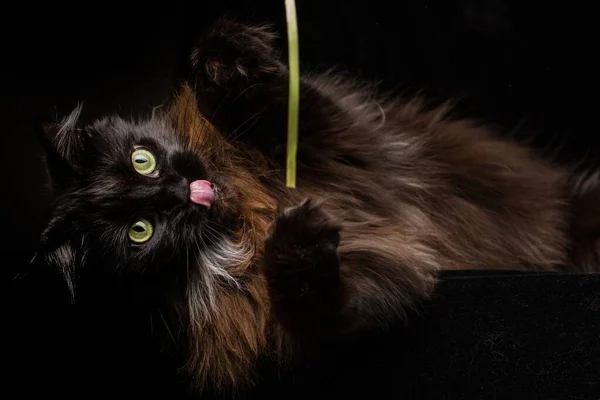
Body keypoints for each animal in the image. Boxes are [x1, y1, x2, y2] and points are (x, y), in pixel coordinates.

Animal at [32, 18, 600, 394]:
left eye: (142, 160)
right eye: (140, 230)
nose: (177, 189)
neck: (252, 211)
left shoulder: (335, 138)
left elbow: (282, 99)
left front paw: (221, 55)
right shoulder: (361, 284)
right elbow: (320, 298)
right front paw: (300, 243)